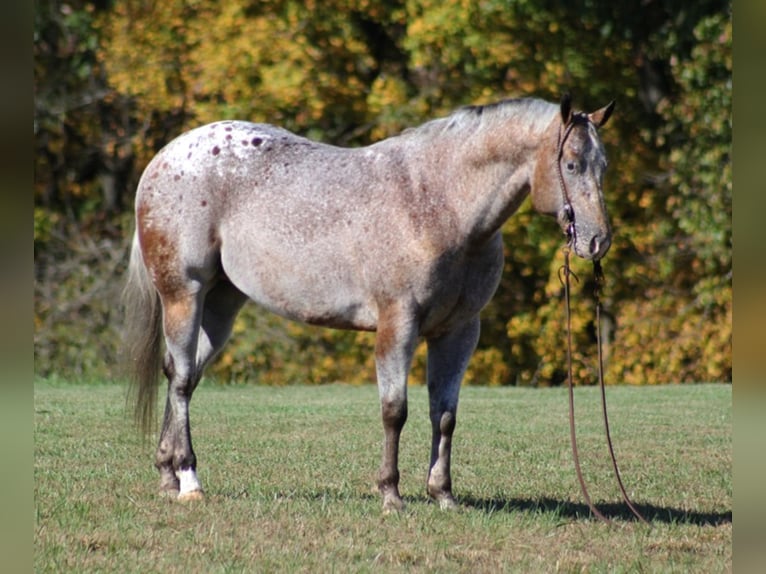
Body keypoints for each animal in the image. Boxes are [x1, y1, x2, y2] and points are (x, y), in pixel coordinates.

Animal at [126, 94, 616, 512]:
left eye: (603, 166)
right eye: (571, 164)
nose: (598, 241)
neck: (438, 202)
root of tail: (164, 158)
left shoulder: (459, 332)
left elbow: (445, 416)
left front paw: (442, 495)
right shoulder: (397, 323)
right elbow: (394, 411)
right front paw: (391, 495)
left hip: (222, 305)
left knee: (183, 376)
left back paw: (168, 475)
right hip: (184, 294)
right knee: (182, 379)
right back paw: (189, 479)